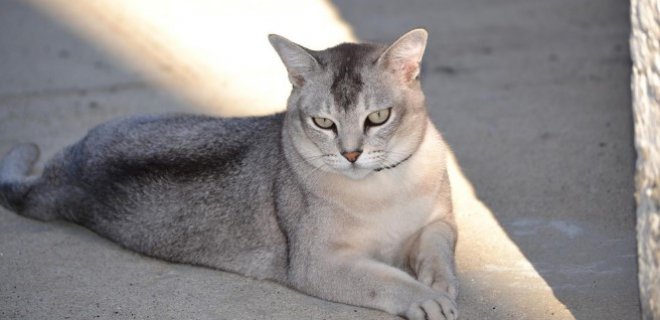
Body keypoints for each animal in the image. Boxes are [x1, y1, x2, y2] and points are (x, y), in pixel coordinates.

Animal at [1, 28, 458, 318]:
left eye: (378, 117)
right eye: (323, 123)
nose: (350, 154)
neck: (385, 188)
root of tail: (64, 174)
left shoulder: (440, 222)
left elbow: (439, 248)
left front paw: (441, 281)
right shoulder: (316, 264)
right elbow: (385, 280)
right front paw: (424, 297)